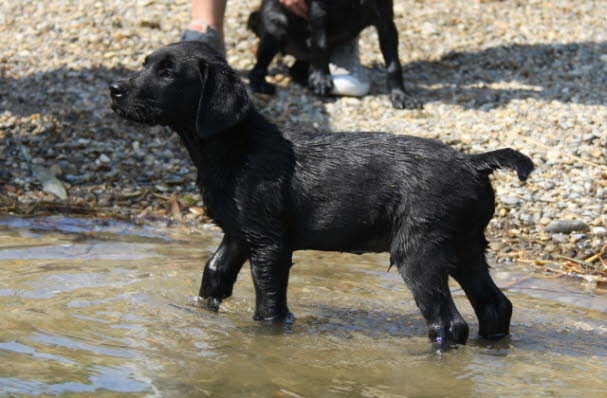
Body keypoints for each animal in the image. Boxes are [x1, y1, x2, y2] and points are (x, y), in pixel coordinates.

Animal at [109, 40, 536, 346]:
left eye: (167, 73)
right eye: (145, 64)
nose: (114, 88)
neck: (233, 146)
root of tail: (473, 162)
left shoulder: (269, 244)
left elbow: (269, 306)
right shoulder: (238, 234)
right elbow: (214, 273)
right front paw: (201, 312)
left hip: (420, 253)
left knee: (449, 324)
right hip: (466, 247)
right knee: (495, 306)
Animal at [247, 0, 422, 109]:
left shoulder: (386, 24)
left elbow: (394, 65)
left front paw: (401, 95)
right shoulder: (319, 13)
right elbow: (320, 44)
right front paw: (321, 78)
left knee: (295, 69)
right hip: (275, 31)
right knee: (258, 68)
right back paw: (260, 85)